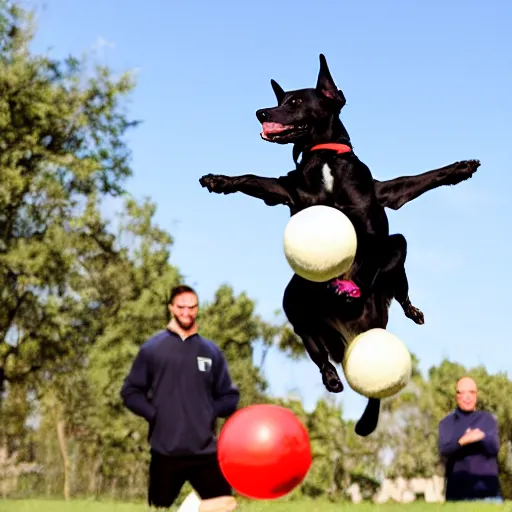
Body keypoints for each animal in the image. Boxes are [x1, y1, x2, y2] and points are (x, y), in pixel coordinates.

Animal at [200, 53, 480, 436]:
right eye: (279, 100)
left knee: (398, 289)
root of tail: (350, 329)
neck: (325, 157)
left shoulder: (381, 202)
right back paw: (334, 378)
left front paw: (460, 169)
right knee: (319, 353)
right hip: (298, 308)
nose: (260, 111)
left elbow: (418, 183)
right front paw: (219, 180)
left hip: (396, 255)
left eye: (294, 102)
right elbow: (252, 178)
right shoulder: (287, 191)